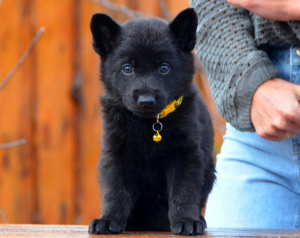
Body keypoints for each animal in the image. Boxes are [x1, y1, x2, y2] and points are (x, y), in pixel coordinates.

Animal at [88, 7, 216, 236]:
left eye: (164, 68)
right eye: (127, 68)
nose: (146, 101)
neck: (149, 124)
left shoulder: (186, 155)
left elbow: (183, 191)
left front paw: (186, 221)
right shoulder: (115, 153)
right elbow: (115, 190)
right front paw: (108, 219)